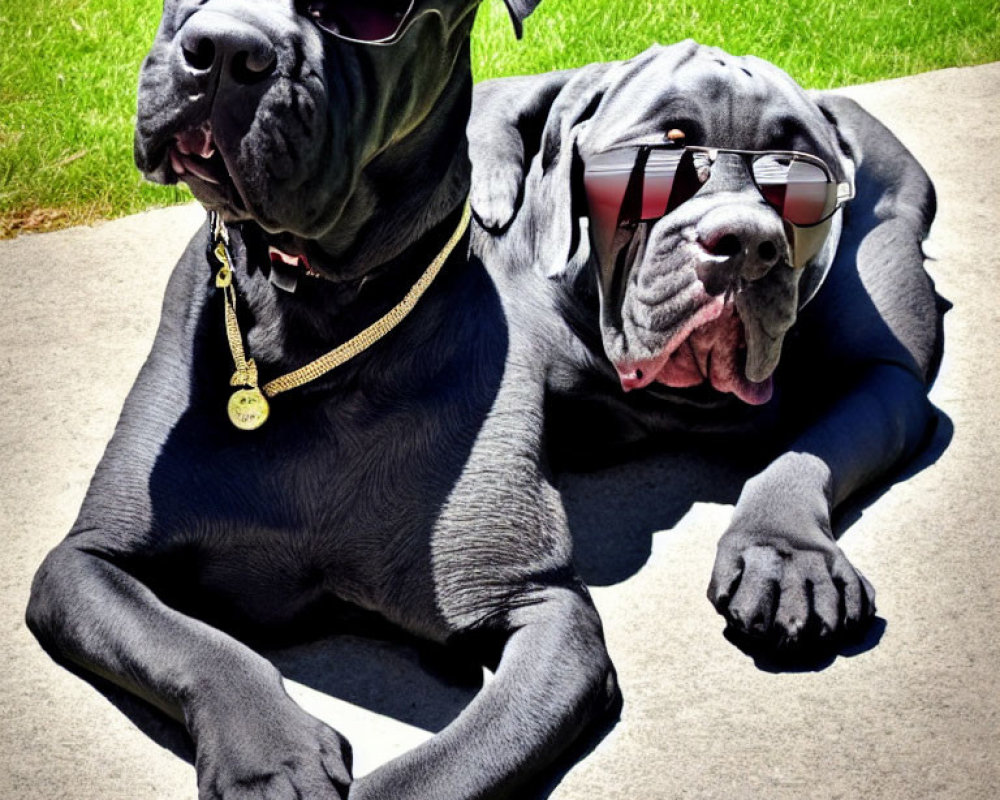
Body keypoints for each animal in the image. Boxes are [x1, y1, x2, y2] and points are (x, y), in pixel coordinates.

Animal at [25, 3, 624, 796]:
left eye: (366, 15)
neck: (316, 314)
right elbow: (199, 643)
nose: (222, 49)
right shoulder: (83, 559)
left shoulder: (543, 605)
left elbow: (443, 768)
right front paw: (270, 756)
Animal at [468, 40, 944, 648]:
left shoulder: (884, 378)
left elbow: (802, 454)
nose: (746, 240)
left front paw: (784, 550)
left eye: (795, 169)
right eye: (665, 153)